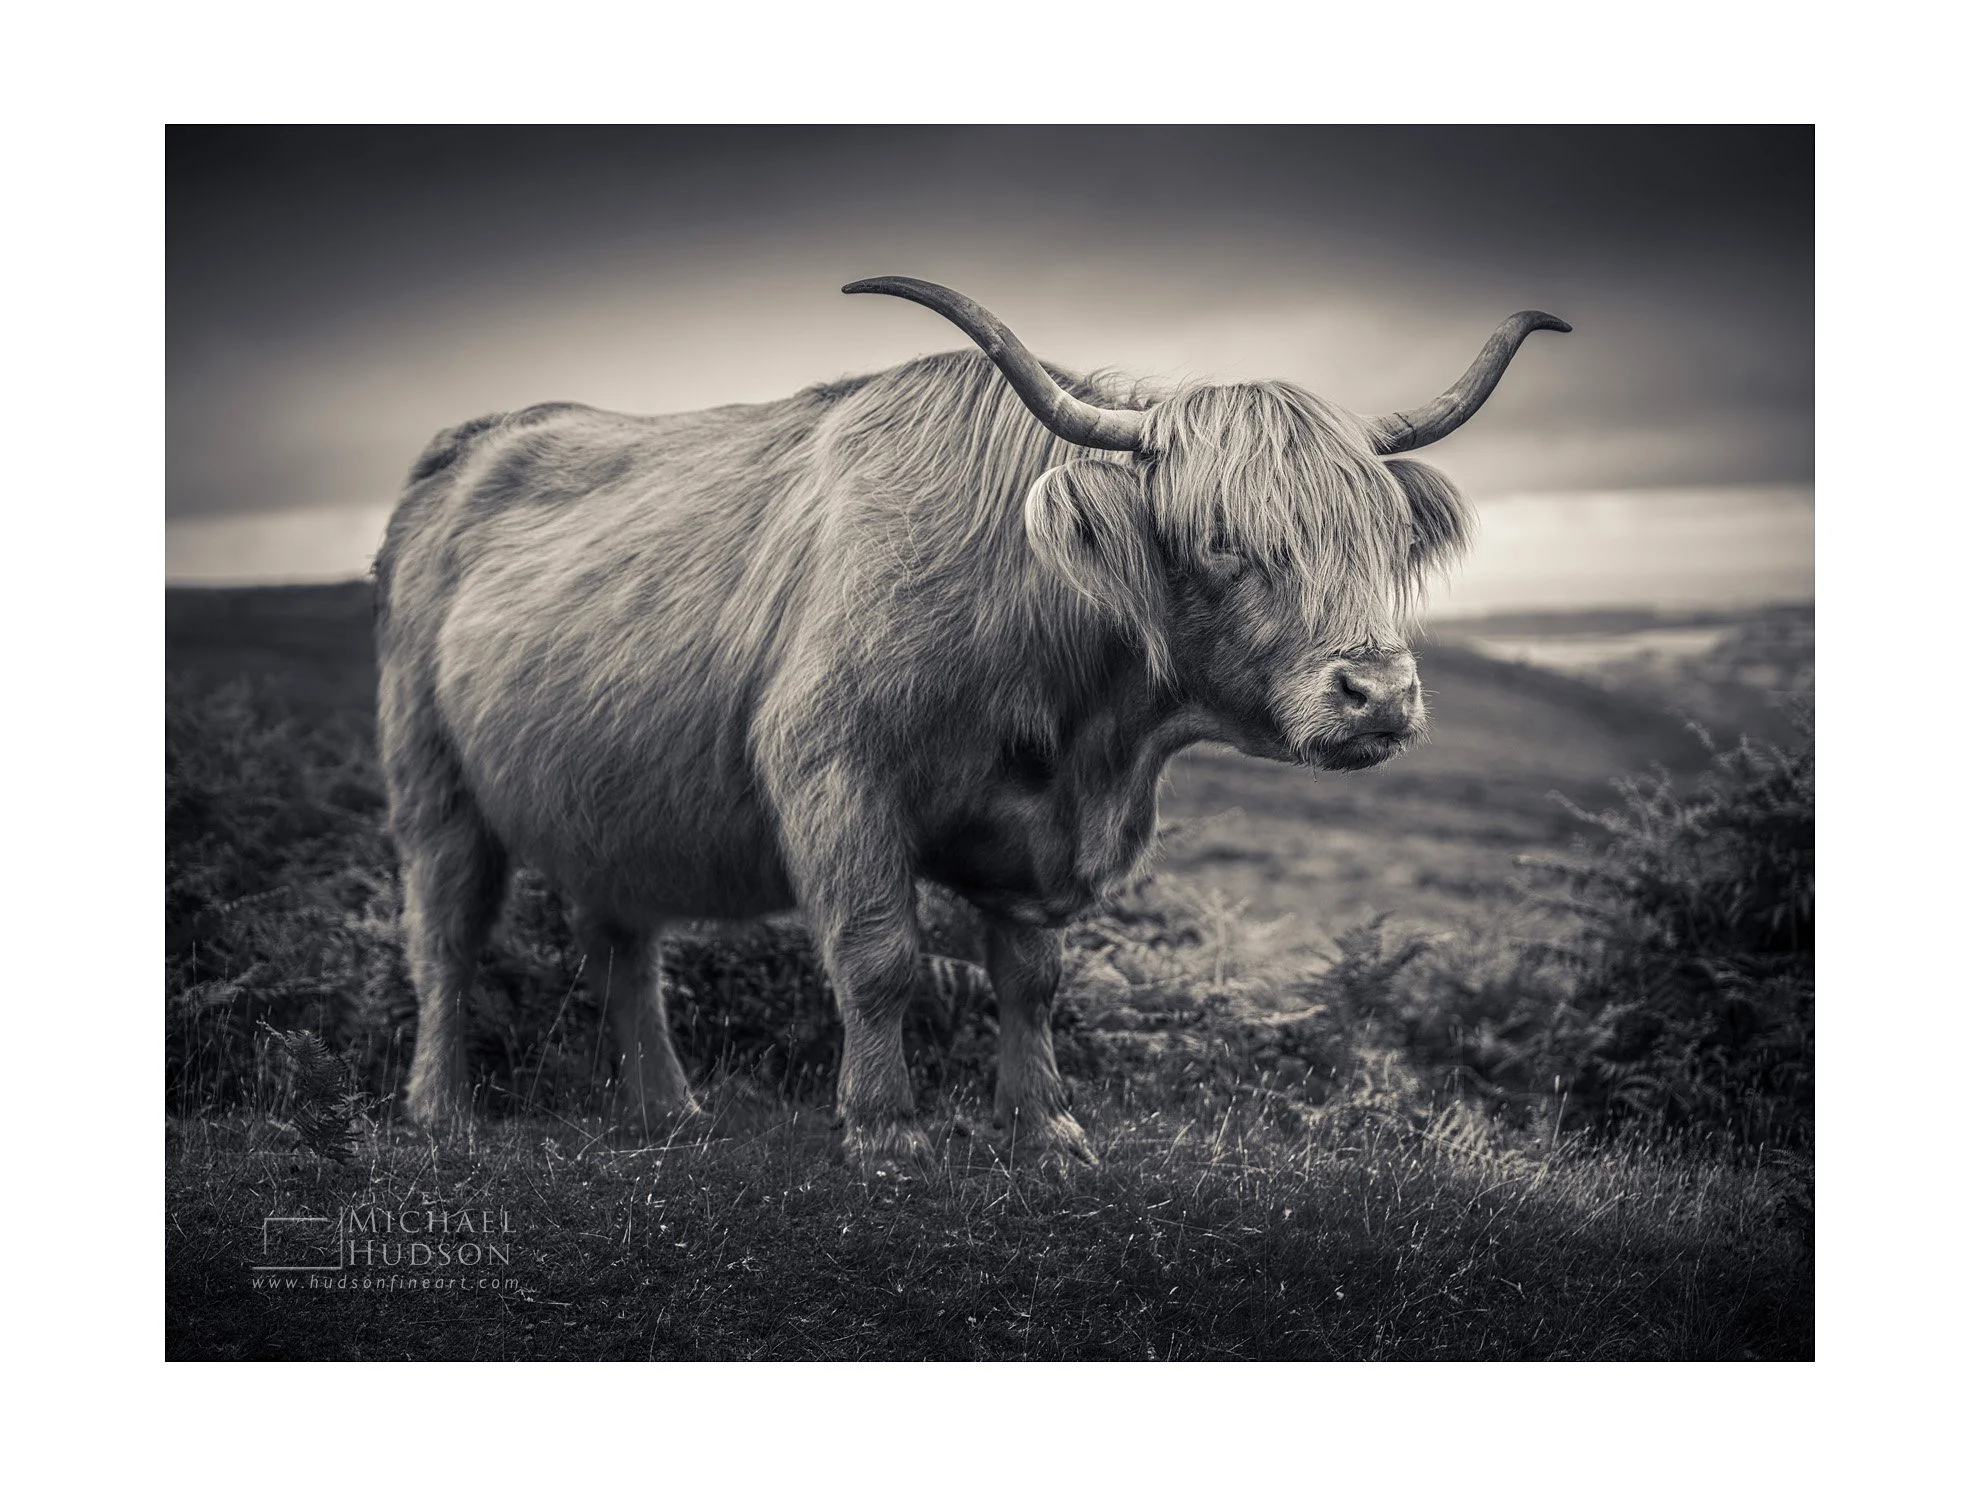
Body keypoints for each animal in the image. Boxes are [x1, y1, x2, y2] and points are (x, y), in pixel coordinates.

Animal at [373, 276, 1567, 1167]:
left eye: (1385, 536)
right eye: (1222, 535)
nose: (1380, 693)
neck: (1081, 730)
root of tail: (471, 444)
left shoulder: (1040, 836)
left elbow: (1033, 978)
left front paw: (1047, 1128)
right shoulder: (835, 773)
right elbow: (878, 956)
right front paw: (884, 1129)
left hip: (609, 802)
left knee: (623, 942)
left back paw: (666, 1108)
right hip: (431, 781)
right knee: (444, 936)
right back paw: (442, 1110)